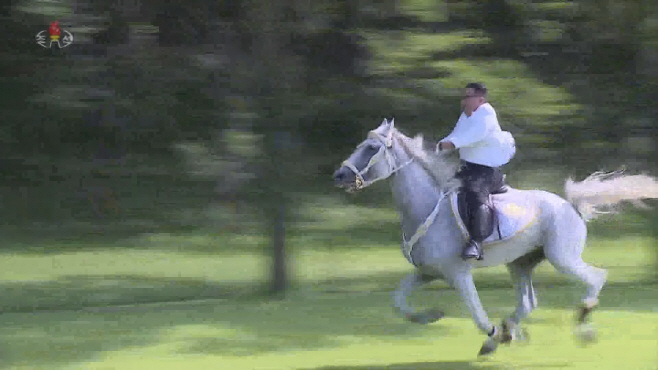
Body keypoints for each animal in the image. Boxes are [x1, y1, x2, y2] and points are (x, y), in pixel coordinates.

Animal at [334, 118, 656, 356]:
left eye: (371, 147)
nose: (339, 176)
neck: (427, 207)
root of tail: (571, 204)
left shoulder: (458, 273)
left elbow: (476, 314)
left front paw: (491, 339)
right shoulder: (428, 272)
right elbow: (398, 302)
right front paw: (433, 315)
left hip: (562, 257)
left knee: (596, 278)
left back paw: (582, 325)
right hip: (521, 263)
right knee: (528, 303)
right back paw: (512, 328)